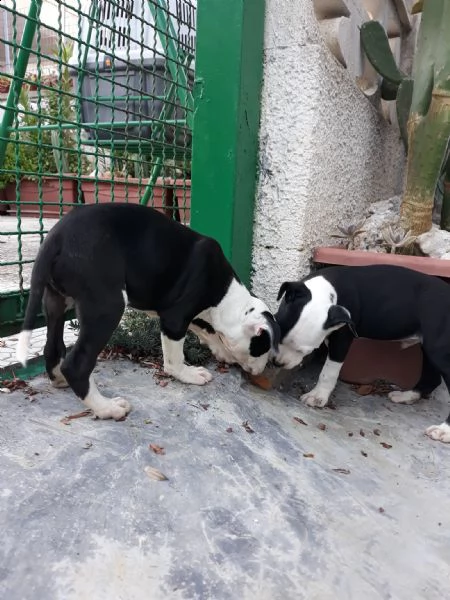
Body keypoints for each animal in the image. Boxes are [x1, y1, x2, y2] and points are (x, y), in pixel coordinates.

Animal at [15, 204, 280, 420]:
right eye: (263, 348)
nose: (262, 371)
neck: (227, 297)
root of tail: (55, 238)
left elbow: (207, 330)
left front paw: (221, 350)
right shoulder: (175, 317)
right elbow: (175, 356)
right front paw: (189, 374)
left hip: (55, 300)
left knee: (52, 346)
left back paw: (59, 378)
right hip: (107, 305)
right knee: (77, 364)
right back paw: (106, 408)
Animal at [274, 264, 450, 442]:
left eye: (304, 351)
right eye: (279, 332)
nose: (277, 363)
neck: (326, 291)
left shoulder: (342, 338)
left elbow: (328, 372)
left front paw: (317, 396)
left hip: (440, 349)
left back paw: (444, 430)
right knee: (432, 378)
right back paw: (407, 396)